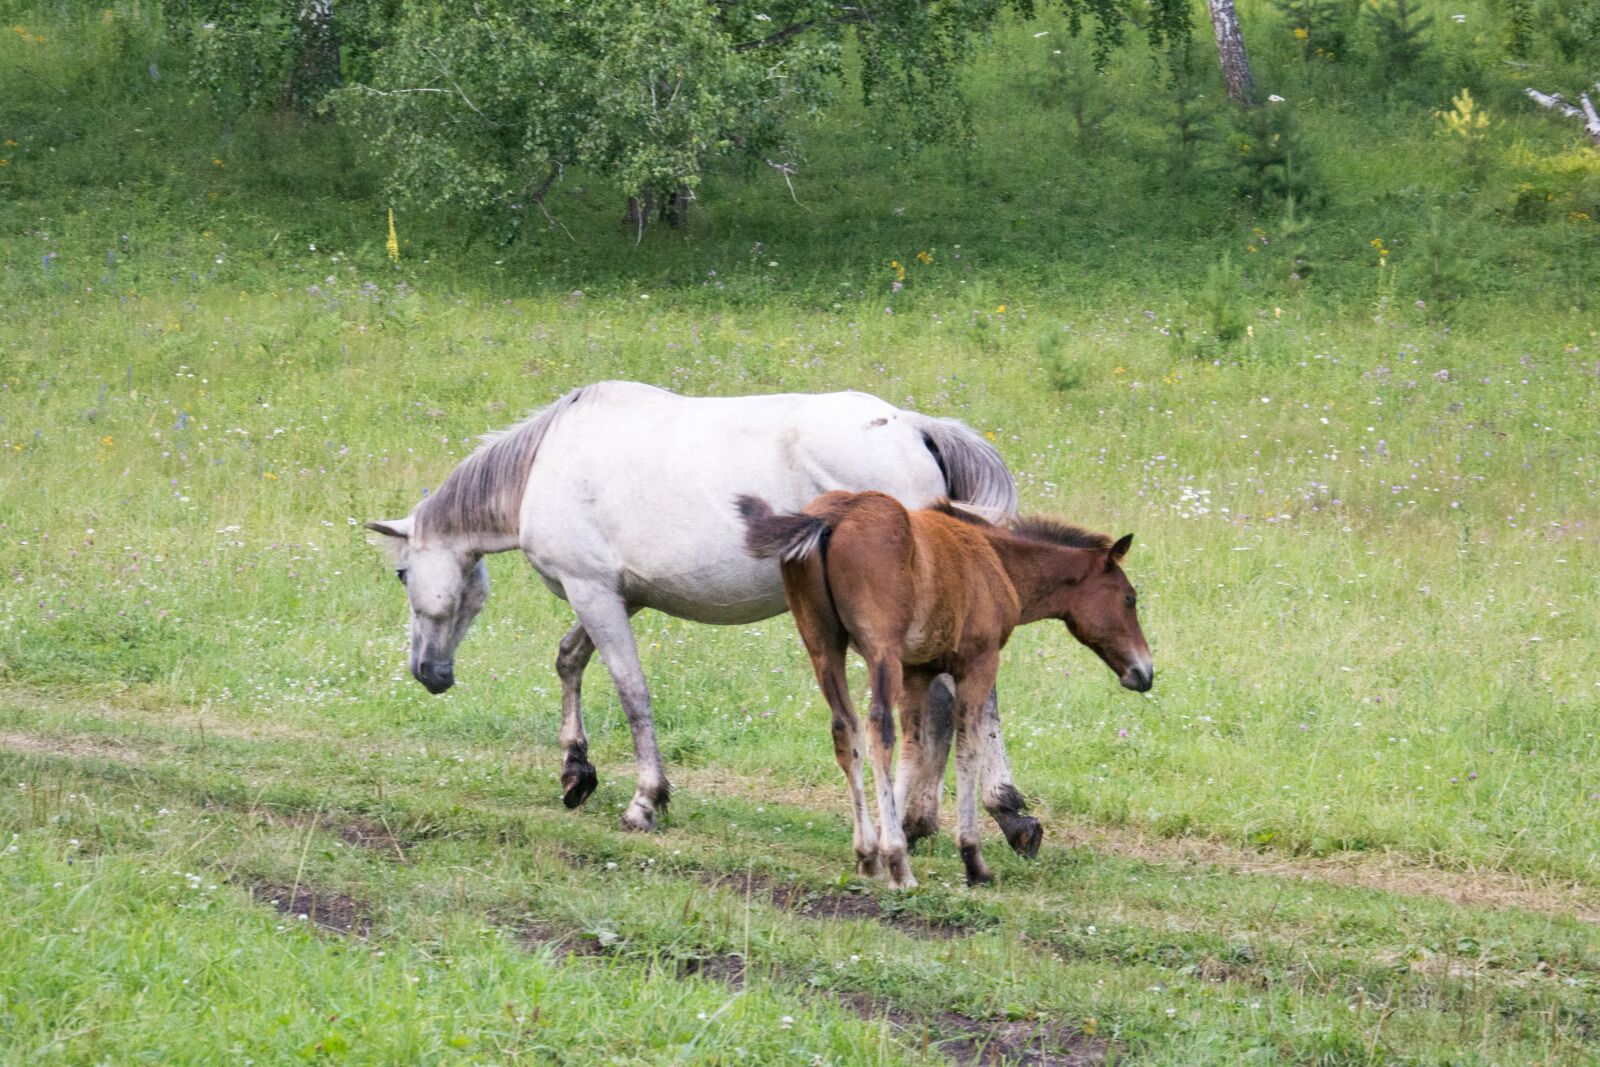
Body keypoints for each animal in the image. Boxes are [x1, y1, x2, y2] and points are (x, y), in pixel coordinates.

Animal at [365, 380, 1018, 834]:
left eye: (401, 574)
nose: (428, 672)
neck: (544, 463)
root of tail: (914, 428)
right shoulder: (616, 596)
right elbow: (569, 660)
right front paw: (577, 771)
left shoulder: (593, 592)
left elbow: (632, 693)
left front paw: (645, 801)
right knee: (958, 701)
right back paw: (956, 817)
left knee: (946, 703)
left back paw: (942, 814)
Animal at [739, 490, 1152, 888]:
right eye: (1130, 598)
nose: (1144, 672)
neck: (997, 563)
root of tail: (833, 516)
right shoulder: (978, 662)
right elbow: (969, 749)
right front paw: (971, 859)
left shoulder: (918, 671)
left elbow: (915, 750)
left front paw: (897, 835)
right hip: (881, 652)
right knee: (877, 731)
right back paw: (899, 865)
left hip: (823, 646)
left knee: (846, 731)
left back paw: (868, 854)